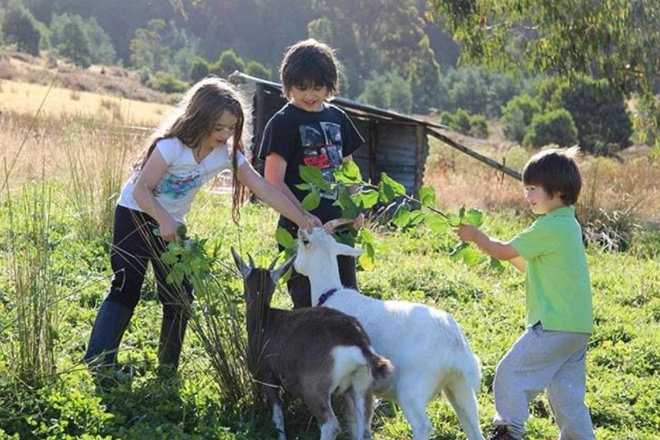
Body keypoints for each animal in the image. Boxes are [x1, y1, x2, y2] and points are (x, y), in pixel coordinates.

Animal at [232, 249, 394, 438]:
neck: (265, 320)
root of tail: (358, 343)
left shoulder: (267, 377)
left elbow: (278, 416)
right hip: (361, 387)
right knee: (364, 430)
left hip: (315, 389)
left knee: (331, 425)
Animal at [294, 227, 484, 440]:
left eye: (304, 242)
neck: (330, 293)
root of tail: (456, 347)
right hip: (459, 386)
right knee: (472, 423)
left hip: (412, 388)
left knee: (423, 425)